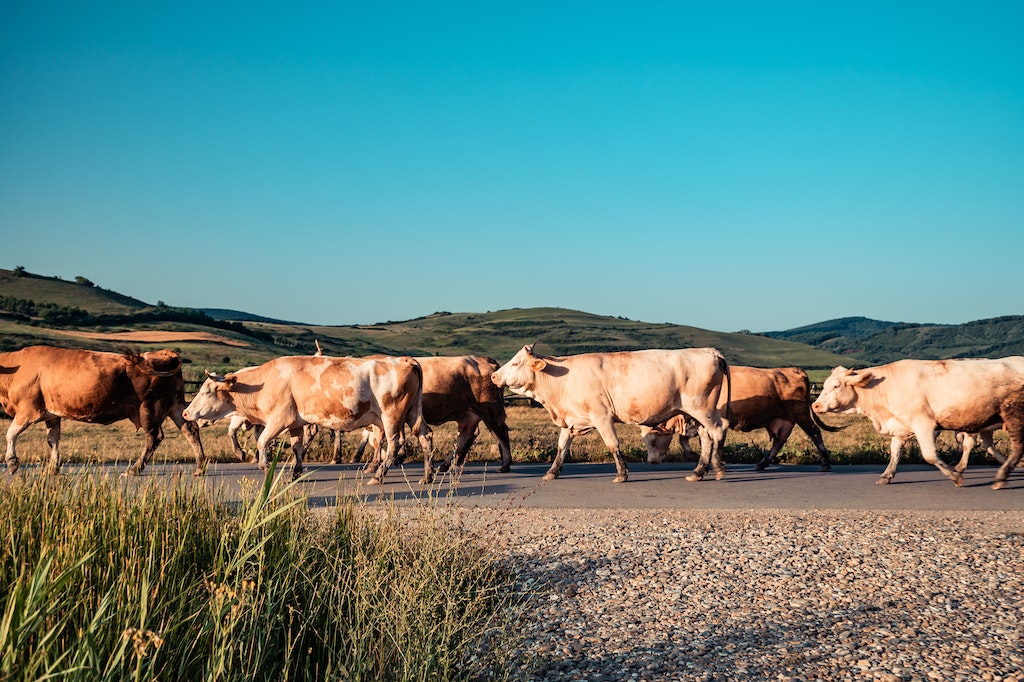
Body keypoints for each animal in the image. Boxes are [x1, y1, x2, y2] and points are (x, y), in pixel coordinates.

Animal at [0, 346, 207, 473]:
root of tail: (165, 353)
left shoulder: (28, 411)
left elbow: (10, 434)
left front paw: (12, 462)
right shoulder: (52, 415)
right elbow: (53, 440)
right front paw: (53, 468)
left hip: (149, 407)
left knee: (154, 437)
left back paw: (134, 469)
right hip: (175, 404)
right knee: (190, 429)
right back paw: (199, 466)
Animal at [182, 352, 430, 481]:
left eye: (206, 391)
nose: (185, 412)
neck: (264, 382)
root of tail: (405, 359)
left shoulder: (278, 419)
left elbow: (262, 442)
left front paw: (265, 467)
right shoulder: (295, 422)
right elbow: (297, 447)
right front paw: (295, 472)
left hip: (391, 416)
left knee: (394, 443)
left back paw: (378, 475)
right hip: (412, 413)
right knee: (425, 437)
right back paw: (427, 476)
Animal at [487, 342, 729, 481]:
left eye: (515, 363)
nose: (494, 376)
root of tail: (710, 352)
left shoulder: (601, 416)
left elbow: (613, 444)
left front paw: (622, 473)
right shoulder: (572, 419)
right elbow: (562, 447)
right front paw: (552, 472)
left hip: (702, 408)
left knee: (718, 431)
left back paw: (717, 467)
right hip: (698, 413)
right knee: (707, 437)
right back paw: (698, 472)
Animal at [638, 364, 839, 471]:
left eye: (653, 440)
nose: (651, 462)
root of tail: (793, 370)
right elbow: (684, 439)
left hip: (800, 413)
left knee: (815, 433)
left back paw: (825, 464)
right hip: (781, 419)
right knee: (779, 440)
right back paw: (762, 463)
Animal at [811, 356, 1024, 489]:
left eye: (836, 386)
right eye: (825, 385)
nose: (815, 405)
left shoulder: (924, 425)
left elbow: (929, 455)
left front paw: (955, 476)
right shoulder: (900, 426)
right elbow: (895, 452)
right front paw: (887, 475)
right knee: (990, 445)